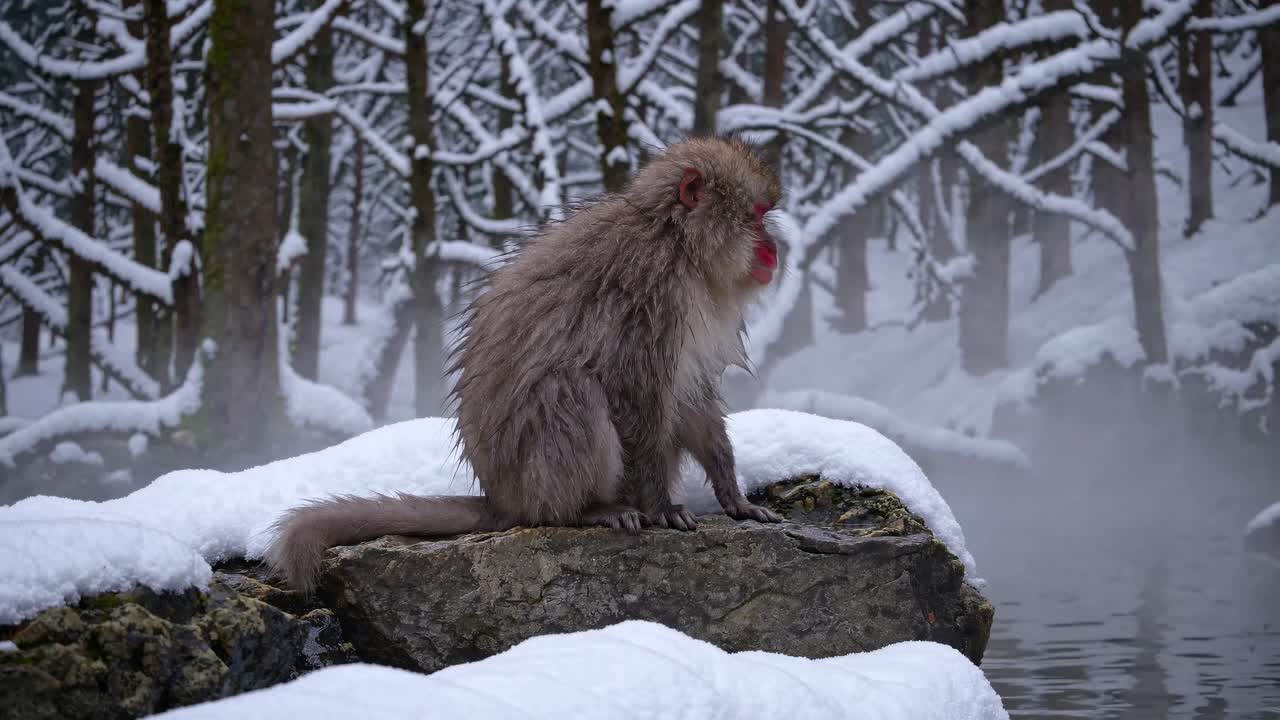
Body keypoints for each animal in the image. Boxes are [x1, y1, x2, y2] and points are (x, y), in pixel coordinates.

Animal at [265, 136, 785, 595]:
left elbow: (689, 394)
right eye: (755, 216)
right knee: (570, 389)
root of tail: (503, 498)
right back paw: (584, 510)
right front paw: (660, 505)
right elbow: (632, 397)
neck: (677, 241)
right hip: (536, 476)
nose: (774, 247)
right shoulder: (650, 293)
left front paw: (732, 492)